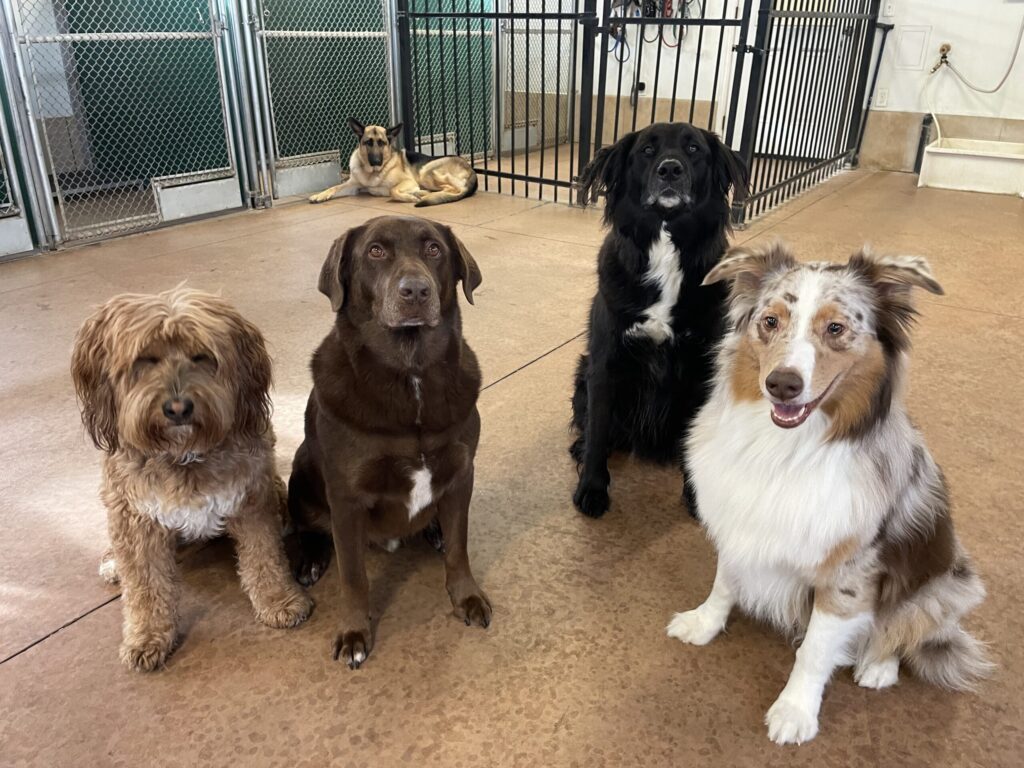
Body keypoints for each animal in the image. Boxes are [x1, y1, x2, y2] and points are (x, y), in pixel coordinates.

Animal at [70, 288, 309, 671]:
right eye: (145, 359)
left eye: (202, 357)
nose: (178, 407)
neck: (185, 454)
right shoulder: (134, 516)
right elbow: (145, 586)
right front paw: (146, 636)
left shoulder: (251, 497)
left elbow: (264, 556)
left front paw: (279, 601)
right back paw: (113, 562)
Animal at [573, 121, 749, 518]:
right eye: (647, 151)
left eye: (694, 149)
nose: (670, 169)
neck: (666, 248)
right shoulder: (604, 363)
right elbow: (597, 430)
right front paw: (592, 488)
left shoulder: (702, 369)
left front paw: (696, 496)